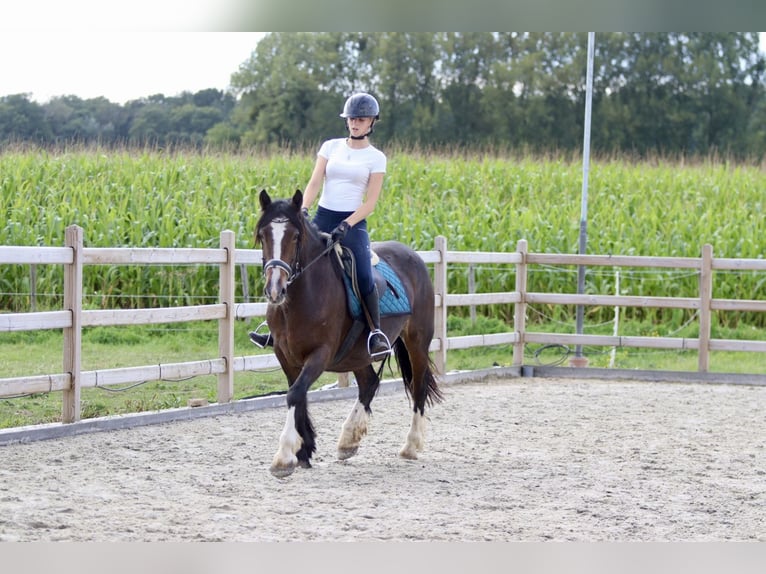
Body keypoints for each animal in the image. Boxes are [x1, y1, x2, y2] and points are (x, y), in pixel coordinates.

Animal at [255, 191, 444, 480]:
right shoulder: (285, 354)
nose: (275, 289)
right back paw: (348, 441)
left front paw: (285, 456)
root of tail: (413, 255)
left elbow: (295, 394)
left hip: (417, 342)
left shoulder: (320, 354)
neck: (303, 296)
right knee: (369, 383)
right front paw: (304, 451)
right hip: (356, 353)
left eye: (295, 236)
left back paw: (410, 446)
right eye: (264, 234)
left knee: (418, 385)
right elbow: (298, 394)